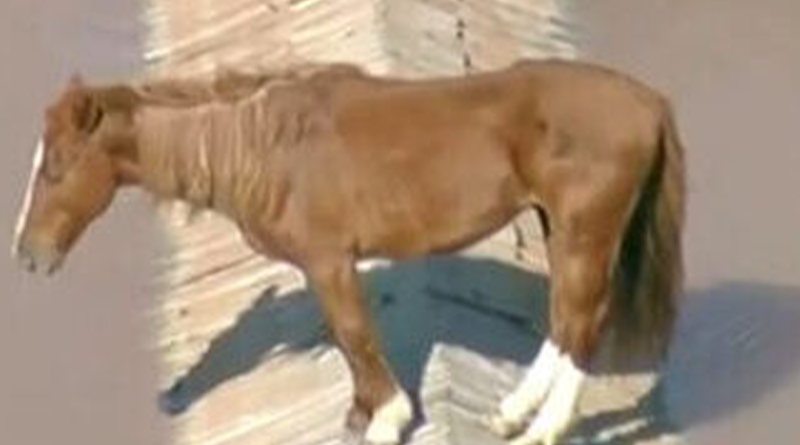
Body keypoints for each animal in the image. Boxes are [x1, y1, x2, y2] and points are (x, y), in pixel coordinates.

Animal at [12, 59, 685, 445]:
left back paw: (542, 428)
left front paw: (385, 417)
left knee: (582, 321)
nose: (26, 255)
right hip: (559, 225)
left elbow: (352, 333)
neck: (264, 148)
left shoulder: (328, 261)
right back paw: (514, 411)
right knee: (567, 317)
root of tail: (649, 102)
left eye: (57, 166)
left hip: (584, 229)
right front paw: (362, 415)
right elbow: (345, 338)